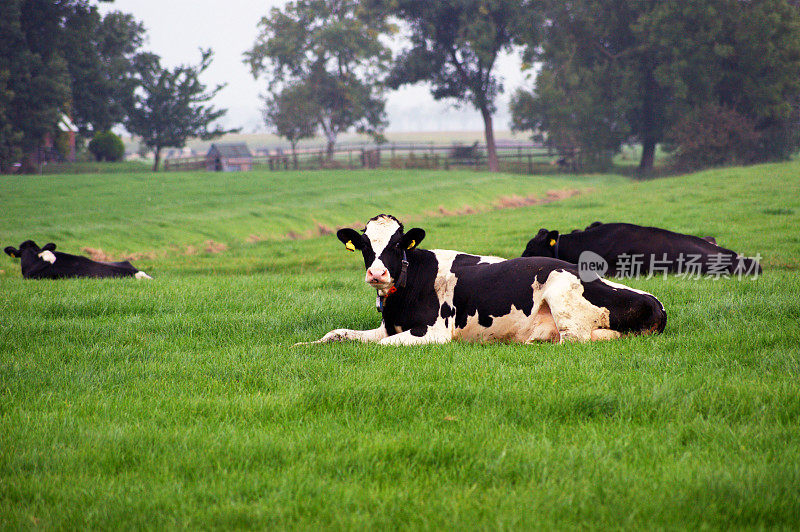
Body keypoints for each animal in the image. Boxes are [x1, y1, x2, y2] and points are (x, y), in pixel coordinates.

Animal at [296, 214, 664, 348]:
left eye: (398, 245)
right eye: (364, 245)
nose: (377, 274)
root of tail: (656, 303)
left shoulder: (434, 332)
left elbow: (376, 347)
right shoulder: (388, 327)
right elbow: (337, 334)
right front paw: (302, 346)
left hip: (562, 293)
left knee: (574, 339)